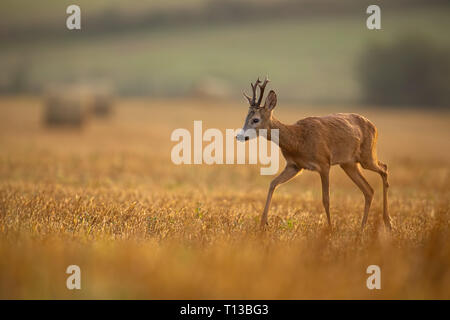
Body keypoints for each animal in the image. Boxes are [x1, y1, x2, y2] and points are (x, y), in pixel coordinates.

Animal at [237, 79, 392, 231]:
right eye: (246, 117)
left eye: (255, 119)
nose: (239, 136)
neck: (298, 140)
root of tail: (374, 127)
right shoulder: (294, 166)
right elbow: (272, 183)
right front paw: (263, 223)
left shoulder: (324, 163)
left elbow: (326, 199)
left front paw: (329, 229)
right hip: (349, 164)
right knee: (369, 190)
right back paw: (362, 228)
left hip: (367, 156)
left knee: (384, 168)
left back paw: (387, 223)